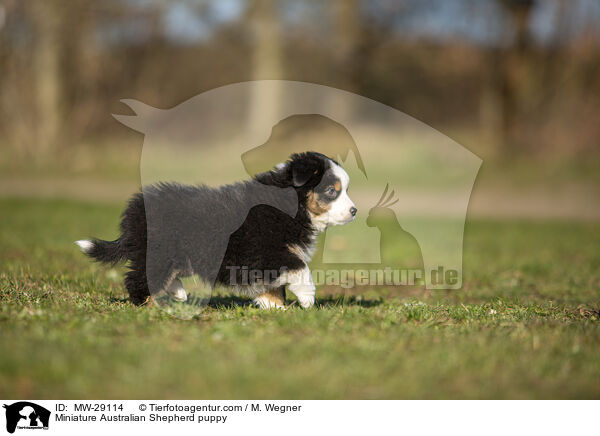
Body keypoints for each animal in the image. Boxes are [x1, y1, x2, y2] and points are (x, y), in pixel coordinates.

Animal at [75, 153, 356, 310]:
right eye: (331, 190)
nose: (354, 211)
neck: (292, 206)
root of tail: (134, 216)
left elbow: (272, 287)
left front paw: (277, 310)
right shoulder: (264, 251)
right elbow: (300, 267)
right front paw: (307, 298)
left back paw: (177, 293)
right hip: (161, 252)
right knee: (139, 280)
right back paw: (149, 307)